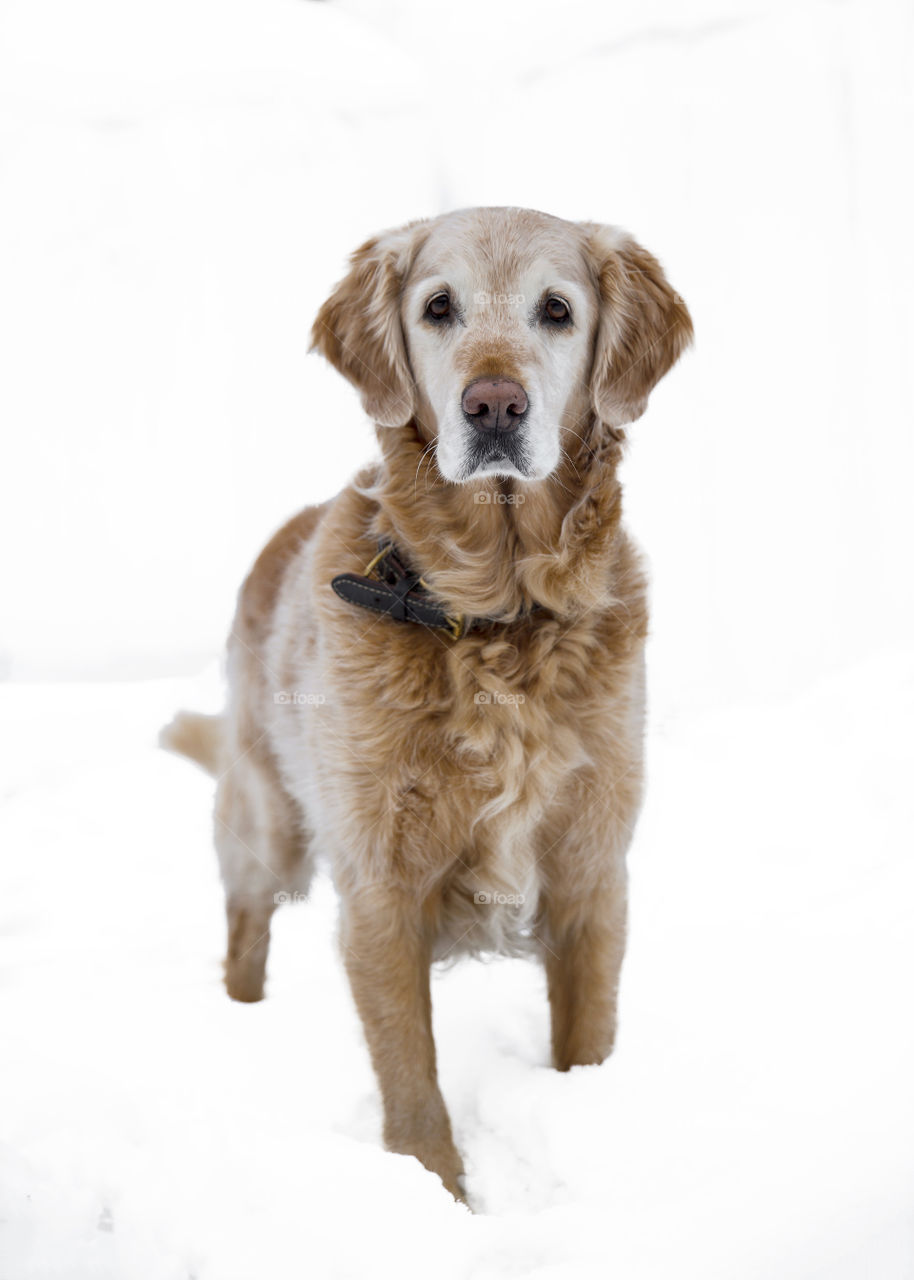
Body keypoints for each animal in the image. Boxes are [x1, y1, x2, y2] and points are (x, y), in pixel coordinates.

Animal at [161, 202, 691, 1198]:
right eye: (439, 307)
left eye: (557, 310)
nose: (495, 406)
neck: (497, 616)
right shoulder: (380, 887)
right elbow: (411, 1081)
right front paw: (439, 1193)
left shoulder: (592, 872)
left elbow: (587, 1039)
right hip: (268, 824)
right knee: (244, 931)